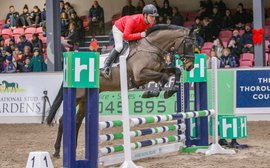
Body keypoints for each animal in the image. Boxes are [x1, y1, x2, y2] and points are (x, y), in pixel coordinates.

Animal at [48, 24, 196, 158]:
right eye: (188, 44)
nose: (190, 66)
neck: (151, 47)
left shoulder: (158, 70)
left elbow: (175, 72)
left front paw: (170, 91)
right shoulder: (140, 74)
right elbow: (164, 77)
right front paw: (151, 92)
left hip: (85, 100)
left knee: (77, 122)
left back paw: (72, 148)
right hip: (77, 97)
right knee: (63, 120)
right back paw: (57, 151)